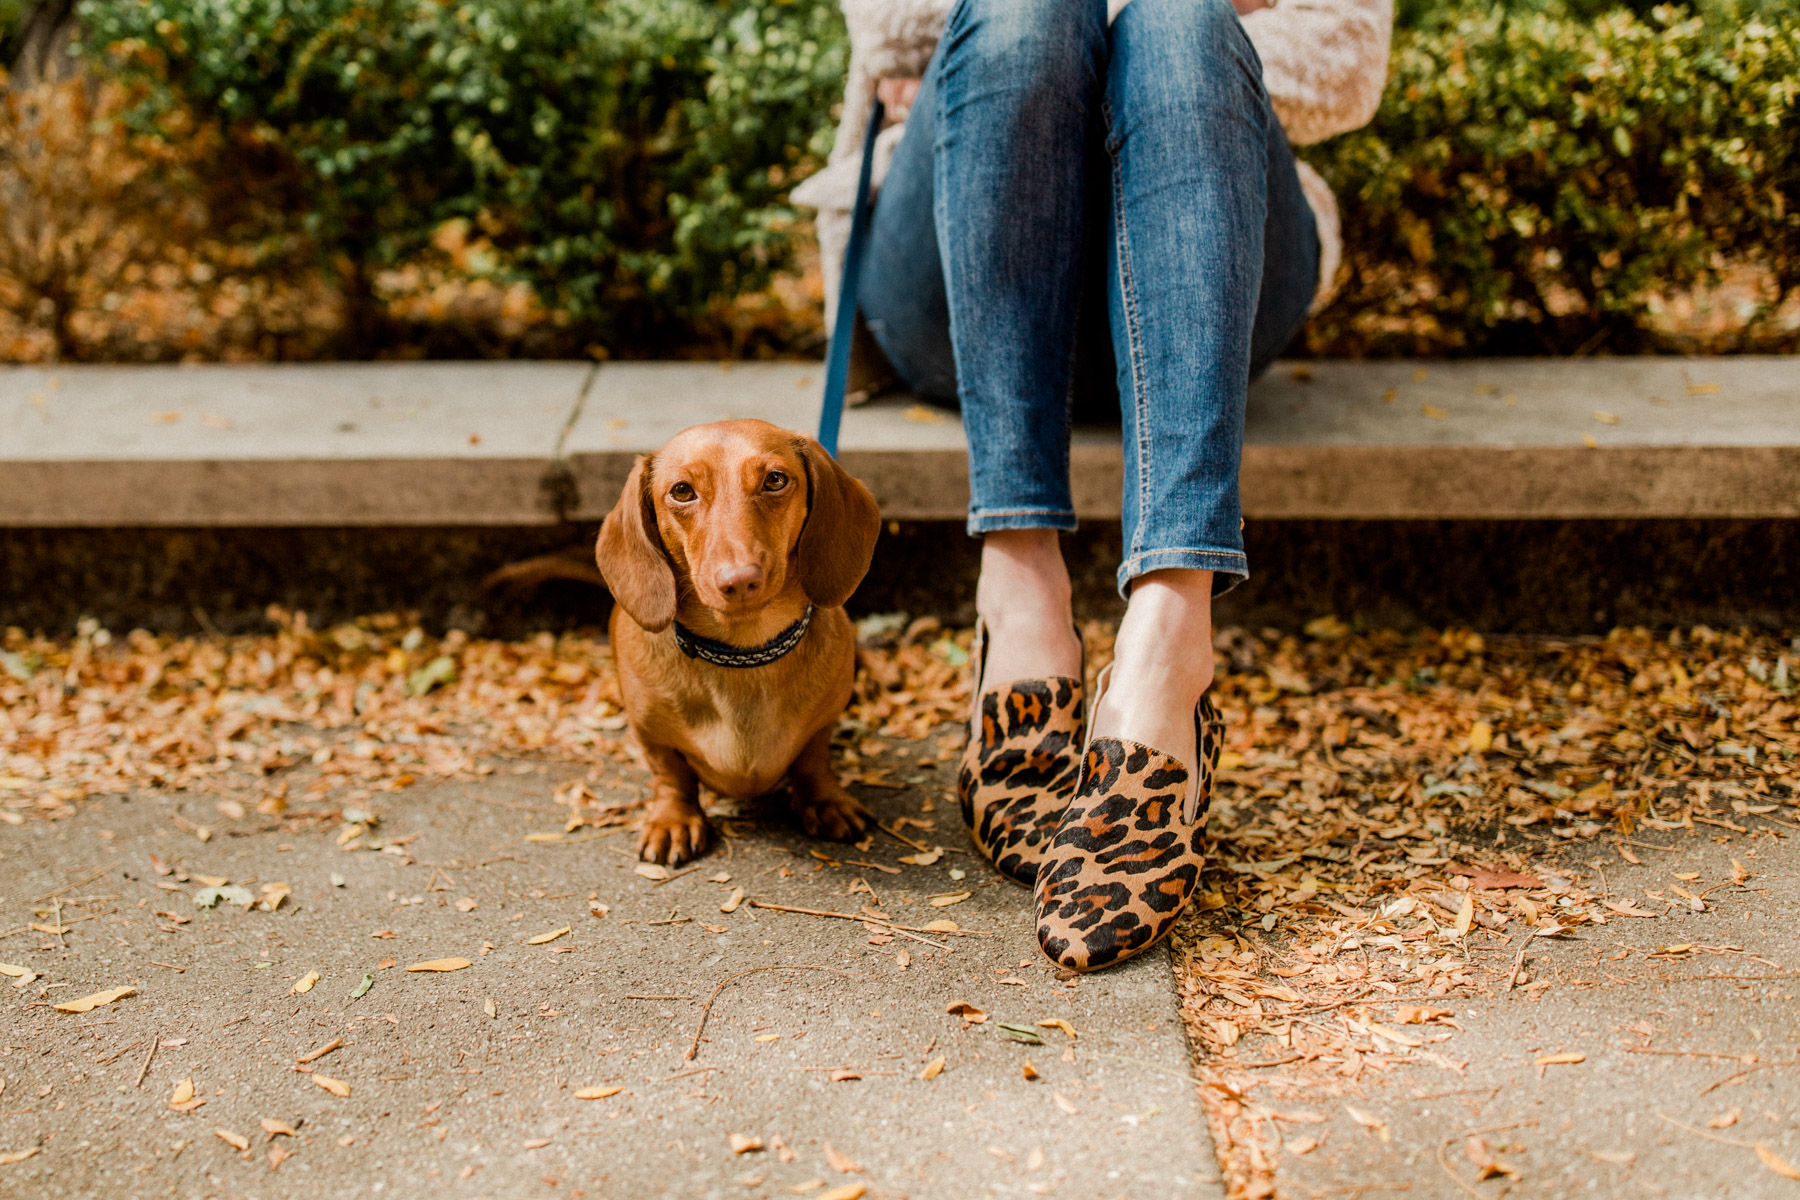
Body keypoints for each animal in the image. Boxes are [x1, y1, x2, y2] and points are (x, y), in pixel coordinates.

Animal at [597, 420, 885, 863]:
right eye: (682, 491)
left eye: (775, 480)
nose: (739, 580)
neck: (743, 654)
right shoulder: (651, 734)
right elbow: (670, 775)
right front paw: (673, 819)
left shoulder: (822, 727)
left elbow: (813, 762)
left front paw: (825, 801)